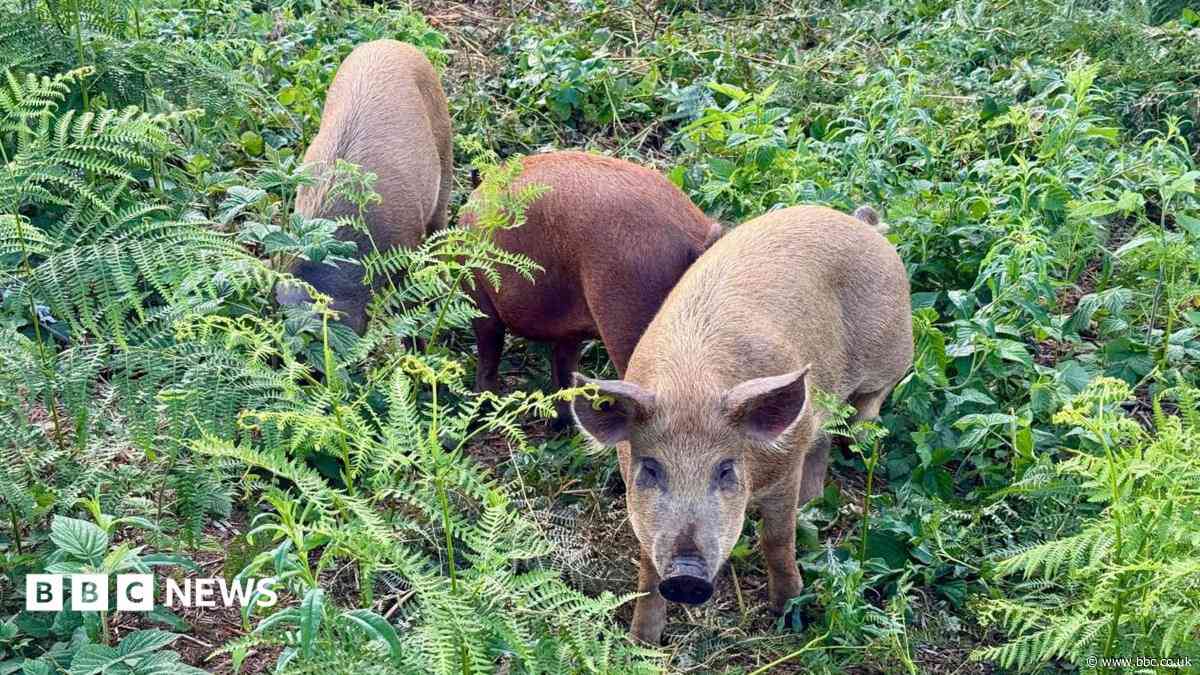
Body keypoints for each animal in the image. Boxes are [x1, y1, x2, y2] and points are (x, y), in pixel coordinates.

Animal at [465, 151, 722, 426]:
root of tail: (693, 237)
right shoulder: (568, 328)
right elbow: (563, 364)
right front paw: (562, 421)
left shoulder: (477, 295)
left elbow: (489, 351)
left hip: (628, 308)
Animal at [571, 204, 912, 644]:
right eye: (650, 469)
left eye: (726, 469)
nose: (686, 575)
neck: (691, 385)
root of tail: (863, 223)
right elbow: (647, 569)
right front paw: (641, 641)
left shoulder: (784, 466)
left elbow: (776, 539)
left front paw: (790, 613)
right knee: (823, 440)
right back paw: (813, 504)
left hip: (894, 351)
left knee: (869, 405)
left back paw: (859, 447)